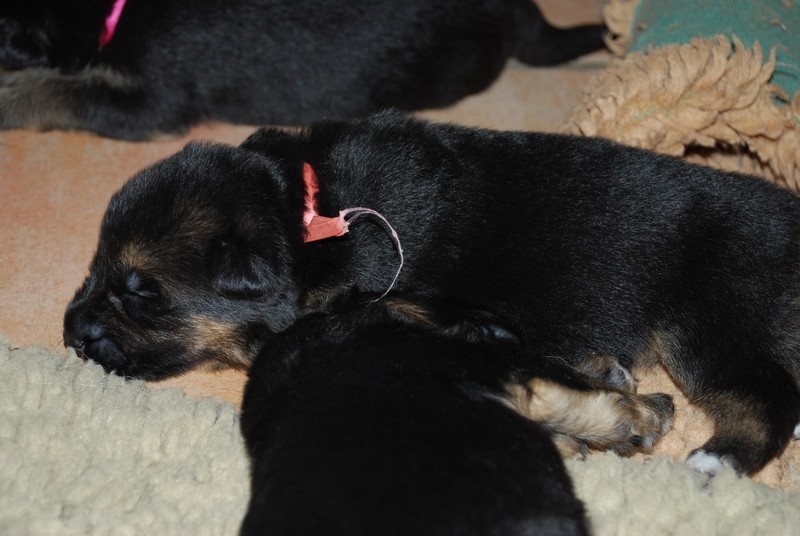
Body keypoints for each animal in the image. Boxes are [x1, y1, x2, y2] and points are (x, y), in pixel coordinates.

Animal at [64, 111, 800, 475]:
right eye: (97, 265)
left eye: (142, 291)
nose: (70, 335)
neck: (304, 215)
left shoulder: (414, 303)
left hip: (708, 322)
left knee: (767, 399)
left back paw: (713, 461)